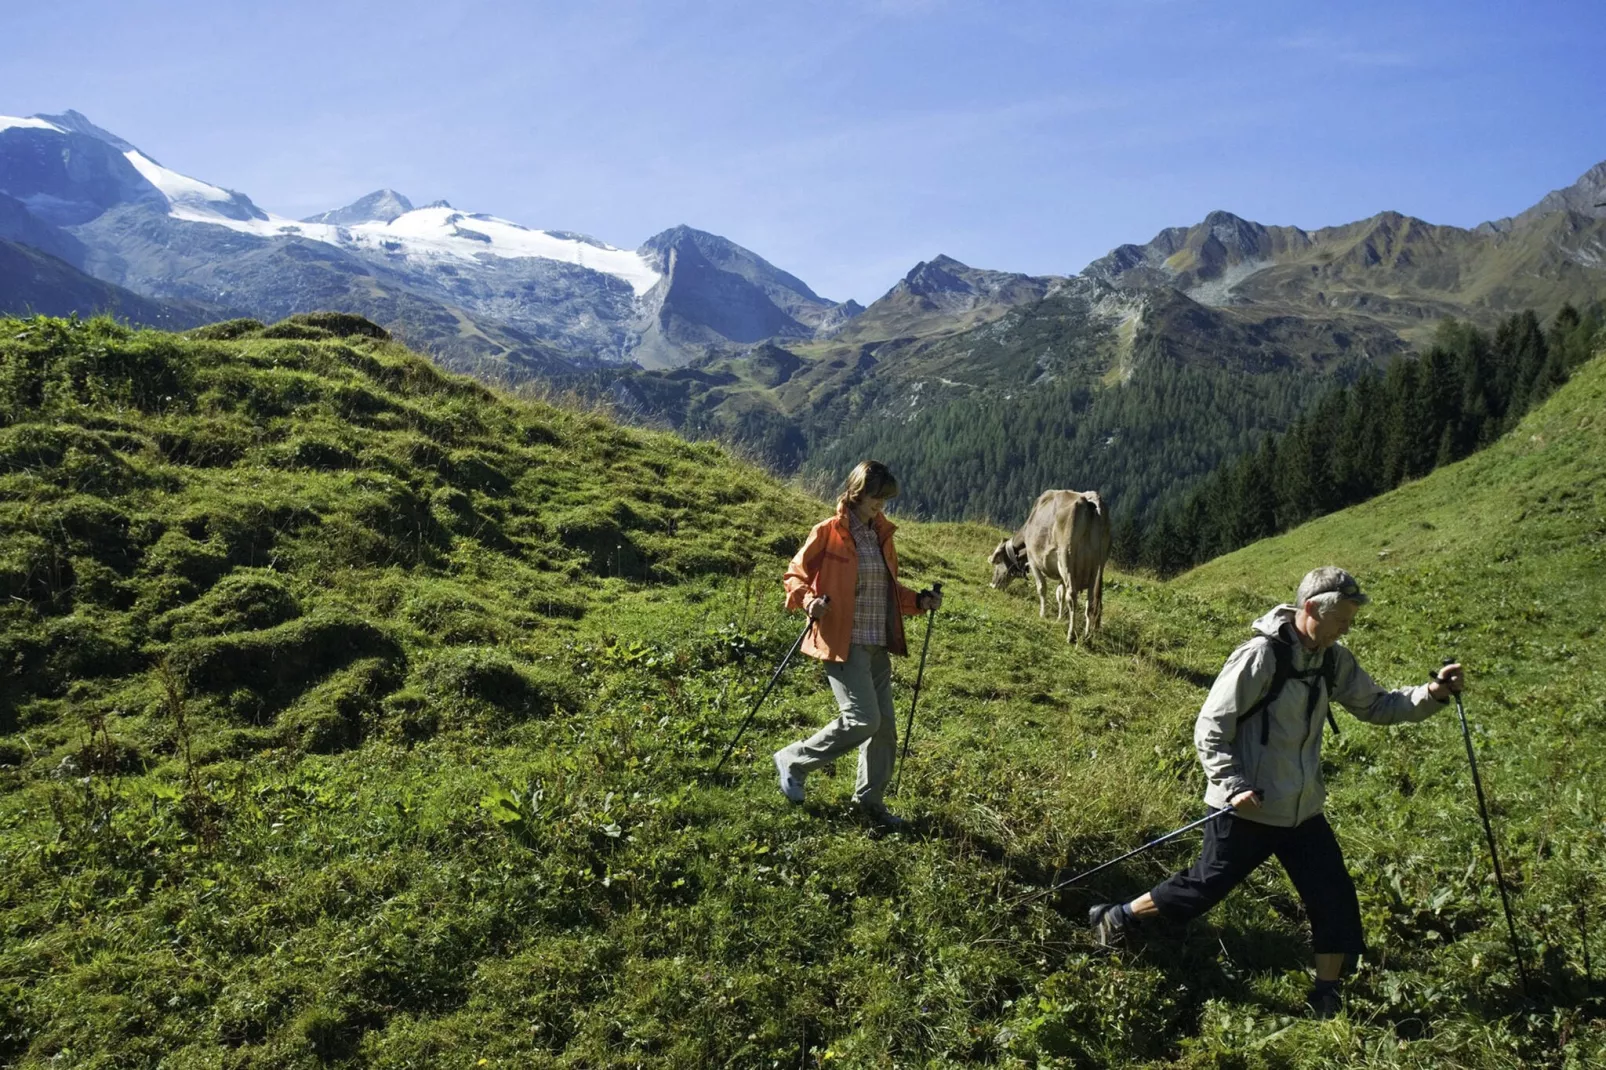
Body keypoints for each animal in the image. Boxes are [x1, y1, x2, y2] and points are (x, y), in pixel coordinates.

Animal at [982, 488, 1111, 636]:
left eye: (997, 561)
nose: (992, 585)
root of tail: (1090, 501)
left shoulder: (1033, 560)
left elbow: (1042, 588)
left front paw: (1042, 614)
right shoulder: (1061, 574)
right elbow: (1060, 594)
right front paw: (1059, 618)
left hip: (1066, 557)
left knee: (1072, 595)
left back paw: (1071, 635)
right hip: (1098, 565)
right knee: (1091, 600)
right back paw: (1087, 634)